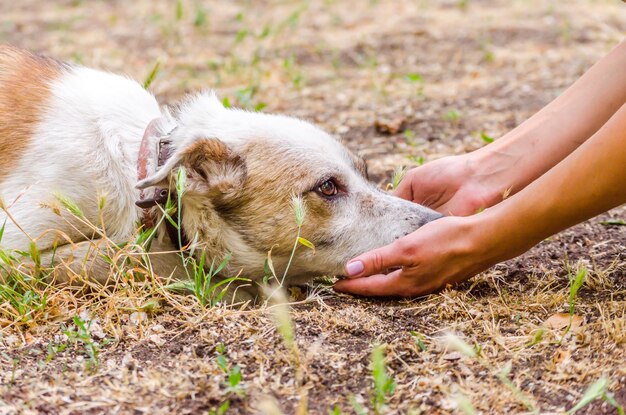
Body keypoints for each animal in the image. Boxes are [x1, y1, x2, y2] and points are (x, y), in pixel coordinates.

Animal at [0, 44, 438, 300]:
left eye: (365, 172)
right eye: (328, 187)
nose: (438, 222)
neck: (139, 169)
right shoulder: (15, 249)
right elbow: (122, 256)